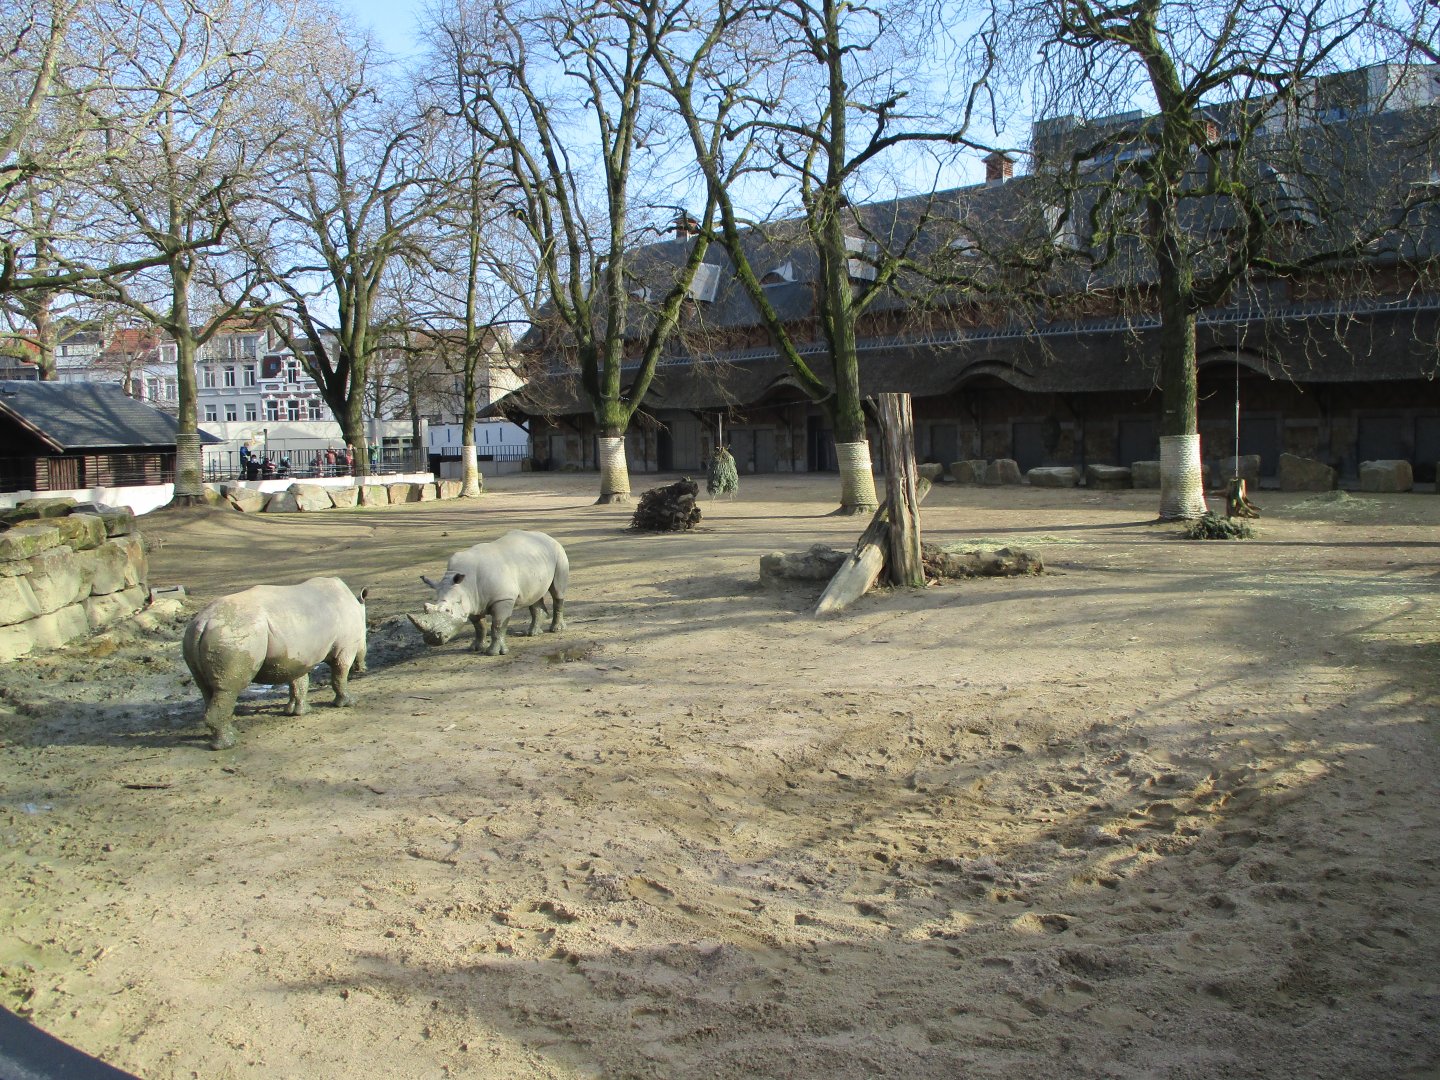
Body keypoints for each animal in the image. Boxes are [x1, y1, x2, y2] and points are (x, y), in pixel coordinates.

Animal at [182, 577, 368, 750]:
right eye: (364, 639)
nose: (363, 668)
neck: (358, 609)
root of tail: (203, 622)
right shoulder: (346, 646)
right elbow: (340, 674)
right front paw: (349, 702)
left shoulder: (298, 654)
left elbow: (299, 681)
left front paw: (298, 712)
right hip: (234, 636)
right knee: (227, 689)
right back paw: (229, 744)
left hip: (198, 636)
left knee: (207, 688)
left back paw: (228, 736)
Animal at [409, 530, 568, 655]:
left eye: (449, 611)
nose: (432, 639)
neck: (464, 585)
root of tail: (546, 536)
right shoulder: (472, 601)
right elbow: (479, 626)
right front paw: (476, 648)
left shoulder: (503, 599)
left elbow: (498, 625)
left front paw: (494, 653)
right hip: (534, 562)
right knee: (534, 596)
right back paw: (532, 633)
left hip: (558, 553)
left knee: (557, 592)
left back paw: (556, 630)